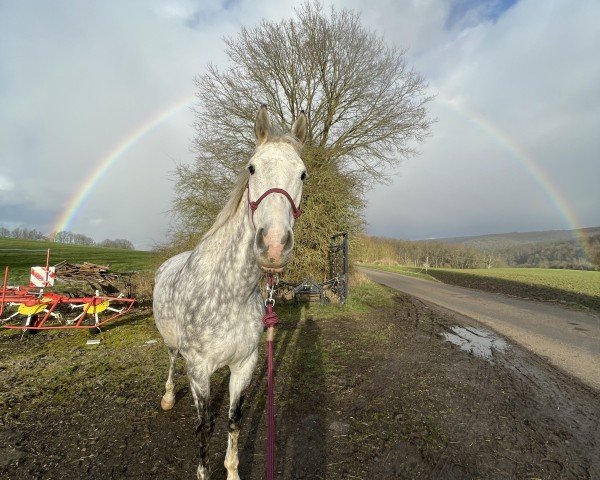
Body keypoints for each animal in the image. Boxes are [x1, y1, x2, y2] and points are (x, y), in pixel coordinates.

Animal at [152, 106, 308, 480]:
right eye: (252, 167)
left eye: (303, 174)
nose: (274, 246)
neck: (228, 293)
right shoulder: (198, 369)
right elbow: (205, 427)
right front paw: (203, 471)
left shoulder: (245, 364)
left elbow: (234, 420)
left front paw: (233, 470)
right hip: (173, 343)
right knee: (171, 361)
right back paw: (167, 397)